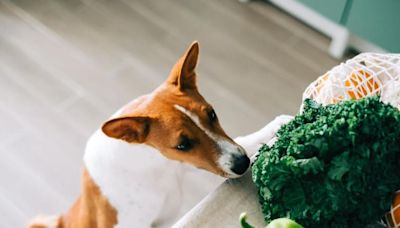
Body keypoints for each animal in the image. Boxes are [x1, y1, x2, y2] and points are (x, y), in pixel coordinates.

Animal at [28, 41, 290, 228]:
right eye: (182, 145)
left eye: (212, 114)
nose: (242, 163)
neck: (152, 165)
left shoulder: (185, 164)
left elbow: (243, 140)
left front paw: (277, 126)